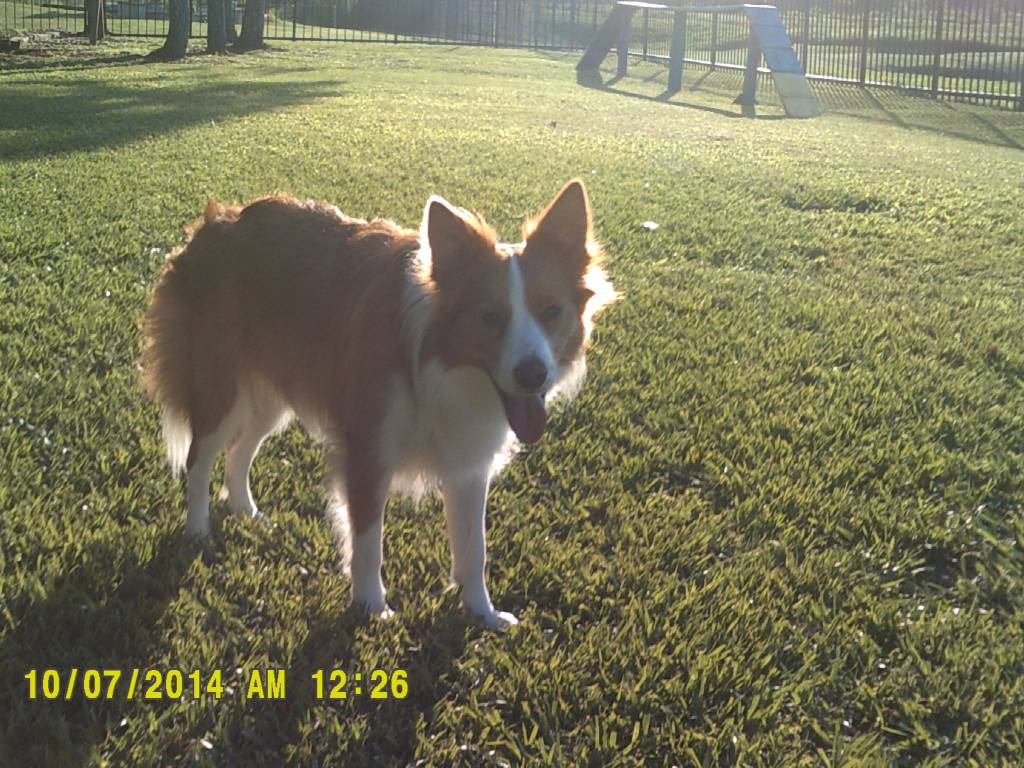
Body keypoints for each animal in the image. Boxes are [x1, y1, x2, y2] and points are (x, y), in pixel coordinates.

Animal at [141, 180, 615, 629]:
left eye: (551, 312)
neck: (443, 367)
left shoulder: (468, 462)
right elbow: (368, 539)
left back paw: (246, 511)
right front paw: (371, 606)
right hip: (222, 387)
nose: (533, 374)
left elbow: (474, 548)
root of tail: (216, 222)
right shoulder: (367, 451)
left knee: (240, 451)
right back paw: (198, 530)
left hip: (271, 397)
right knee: (200, 458)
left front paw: (482, 613)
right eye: (490, 317)